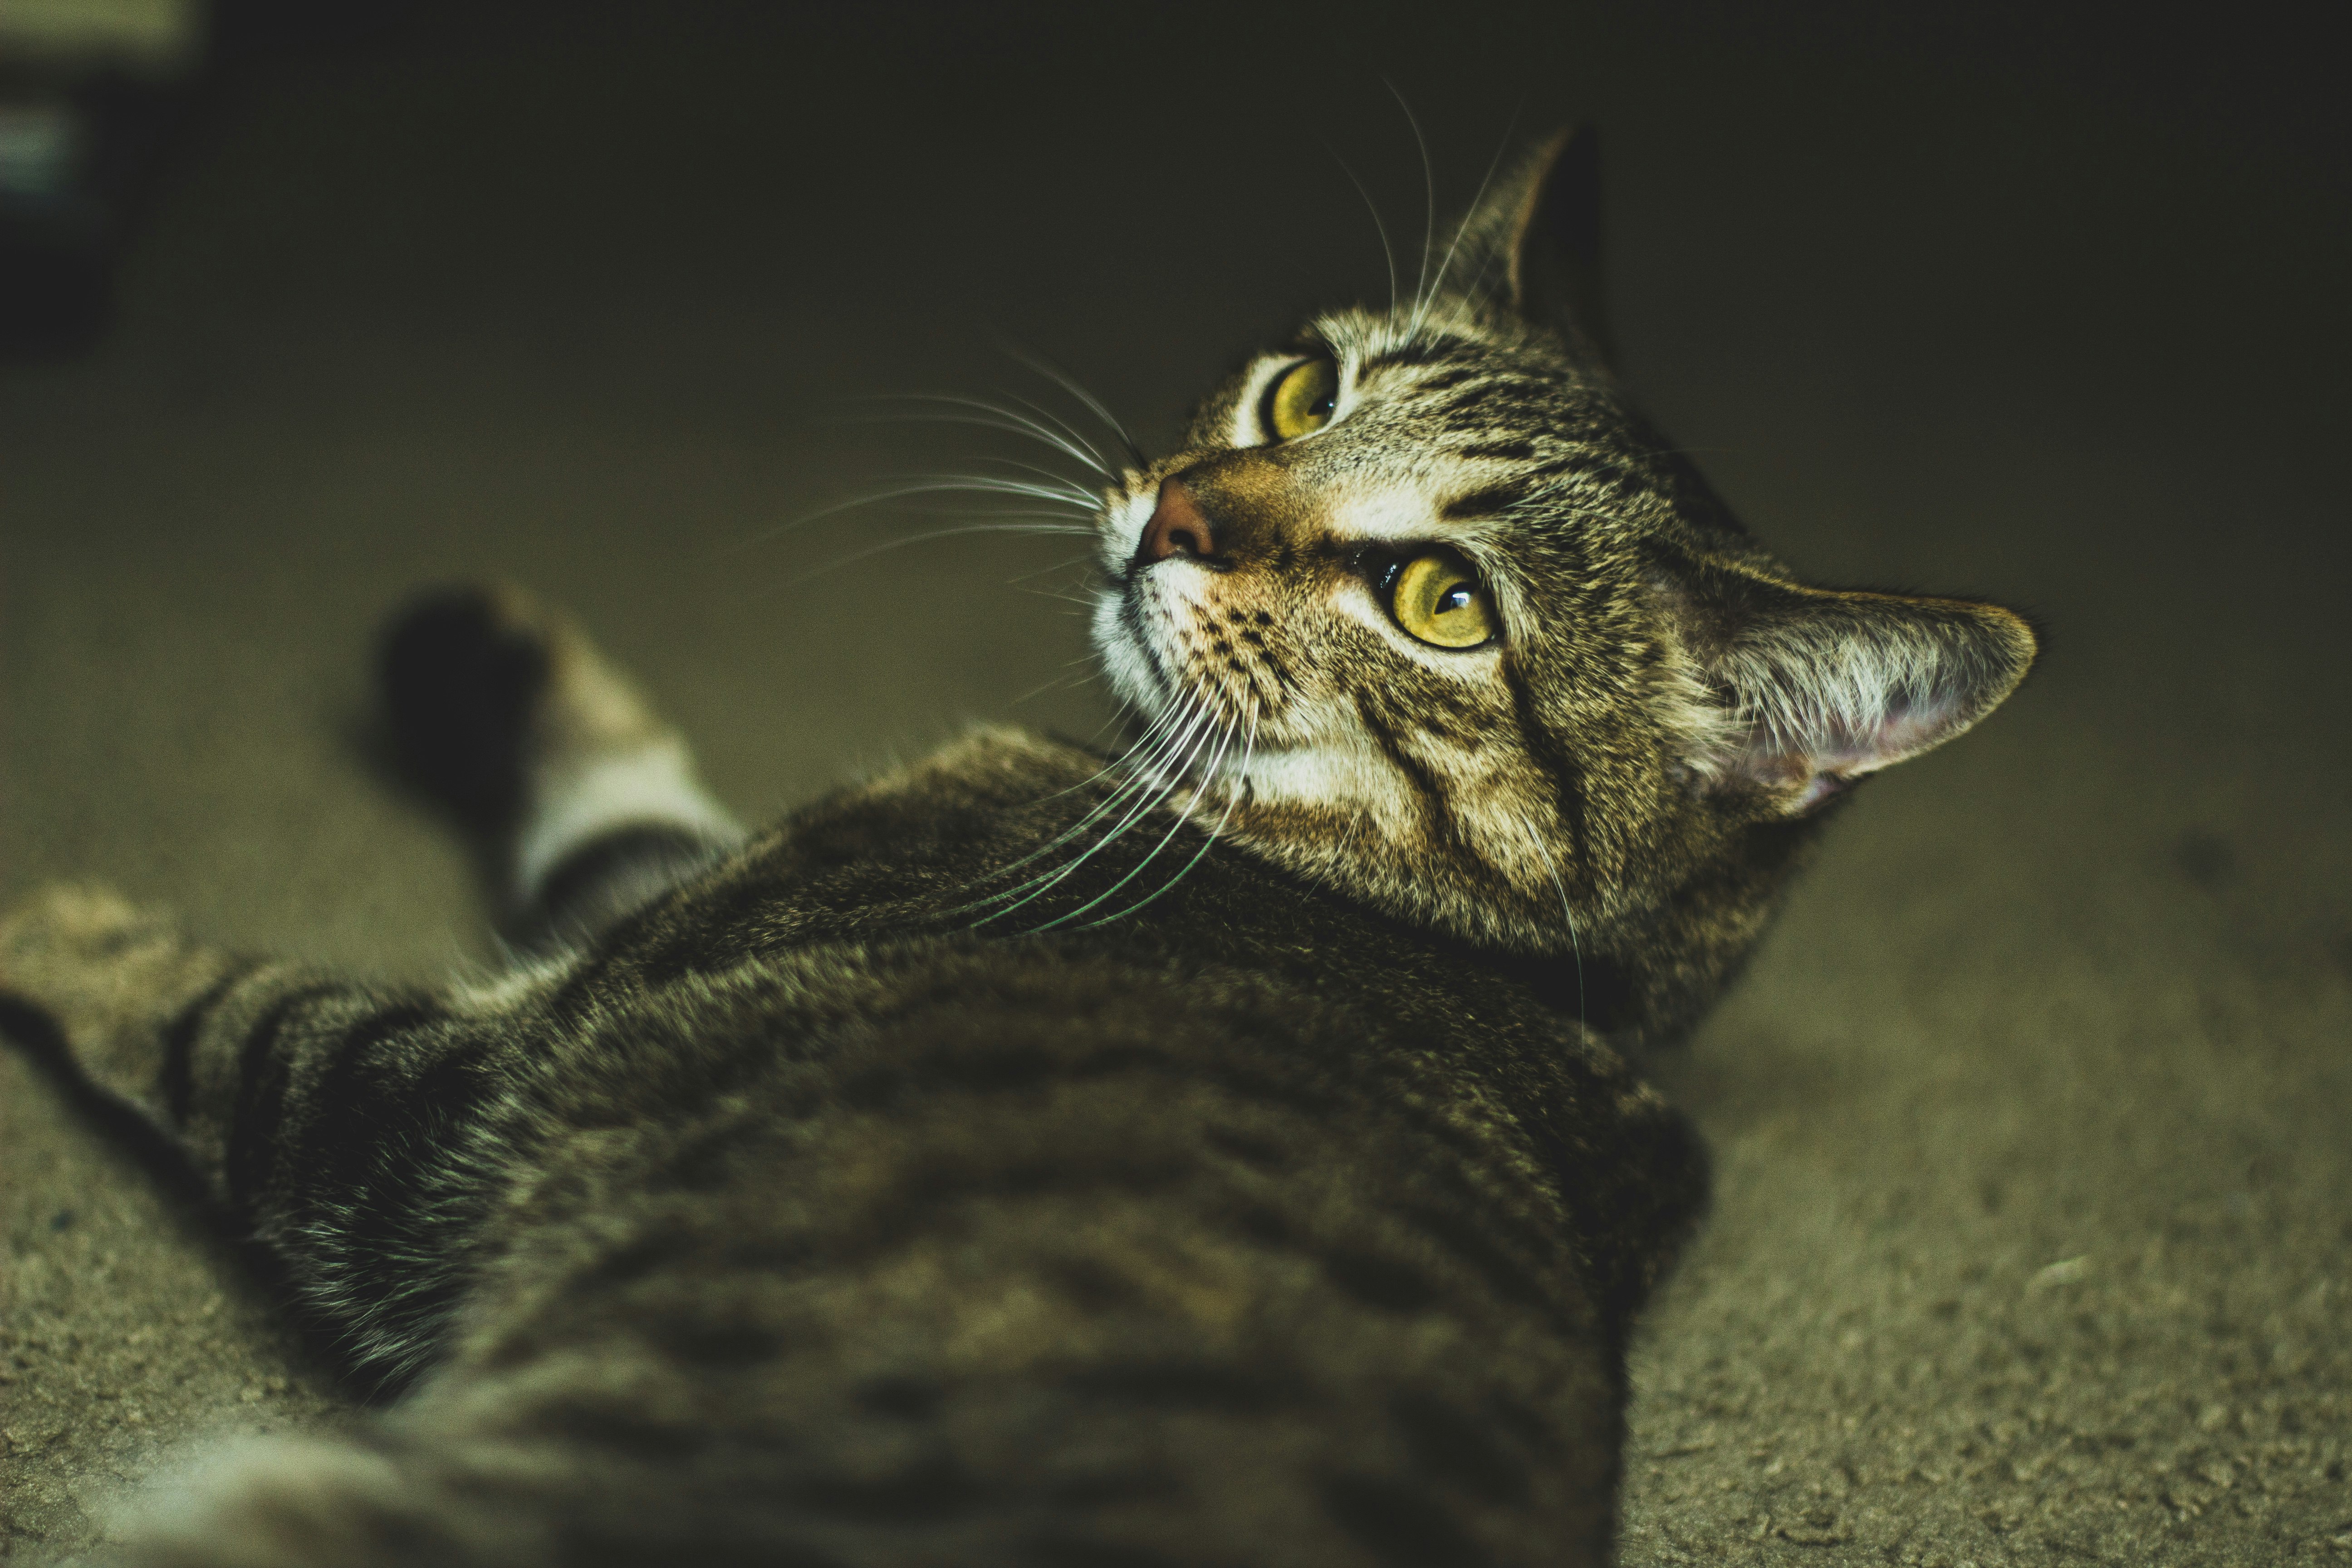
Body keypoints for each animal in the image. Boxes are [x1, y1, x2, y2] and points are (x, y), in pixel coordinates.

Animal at [0, 128, 2032, 1561]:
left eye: (1445, 600)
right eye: (1305, 391)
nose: (1181, 512)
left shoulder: (440, 1100)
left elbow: (218, 1001)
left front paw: (45, 910)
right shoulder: (674, 895)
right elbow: (618, 790)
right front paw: (466, 643)